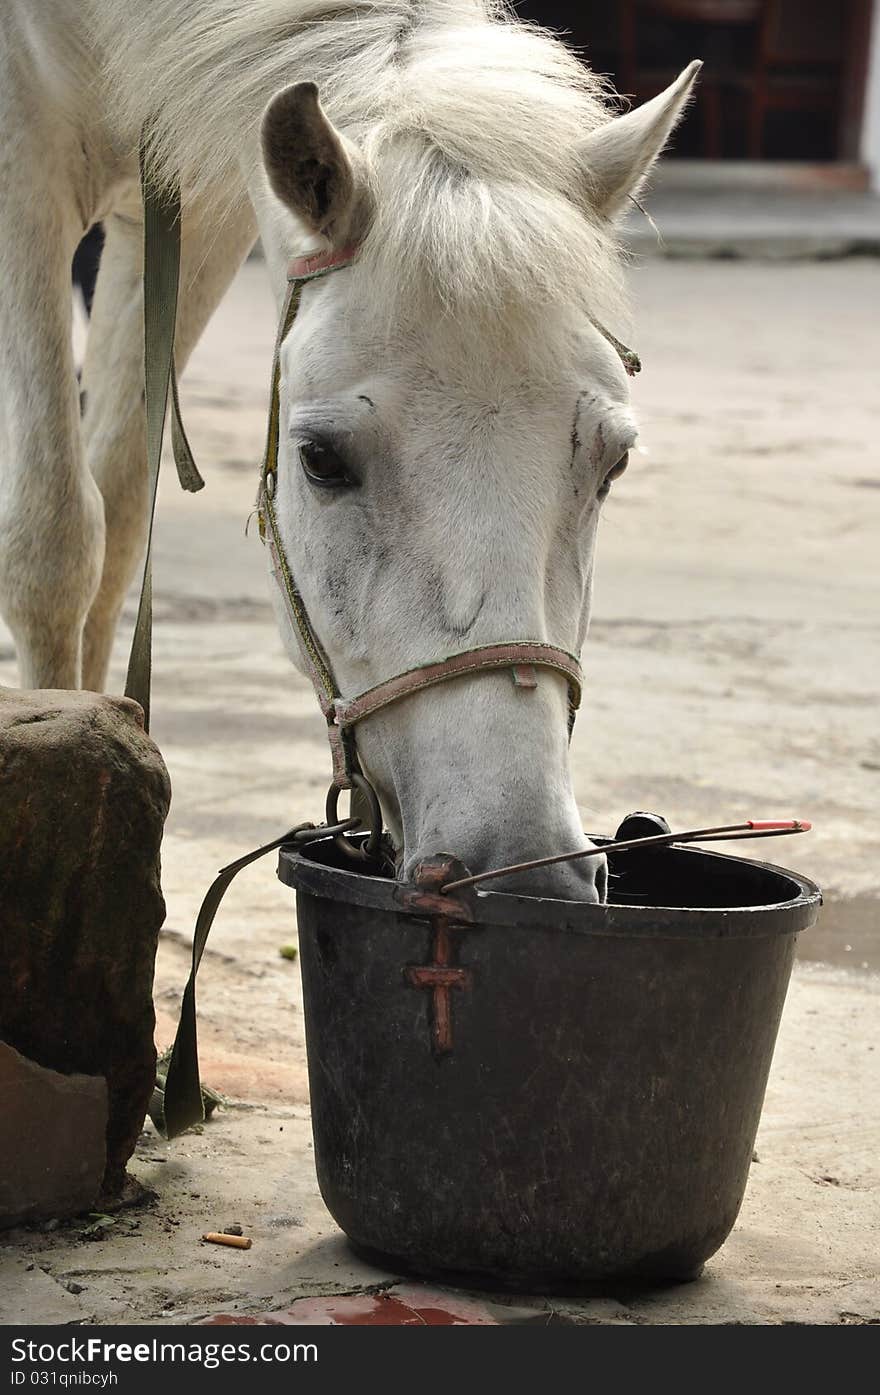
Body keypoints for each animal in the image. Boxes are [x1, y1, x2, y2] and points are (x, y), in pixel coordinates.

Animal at [1, 2, 702, 892]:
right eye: (321, 459)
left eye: (613, 463)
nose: (524, 867)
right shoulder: (24, 159)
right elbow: (55, 541)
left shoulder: (200, 200)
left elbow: (120, 514)